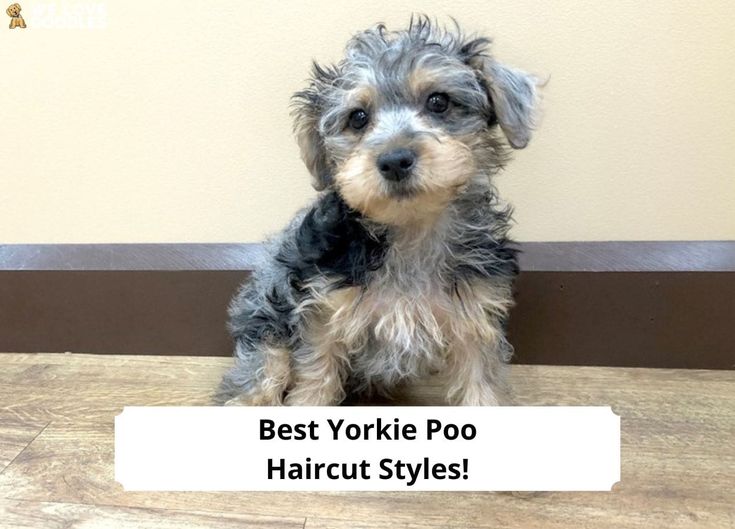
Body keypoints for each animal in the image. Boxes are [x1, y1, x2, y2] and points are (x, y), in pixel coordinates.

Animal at [218, 15, 540, 404]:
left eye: (439, 102)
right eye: (357, 118)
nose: (394, 159)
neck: (410, 230)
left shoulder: (474, 314)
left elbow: (481, 383)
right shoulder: (322, 310)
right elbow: (315, 378)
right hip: (267, 311)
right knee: (264, 366)